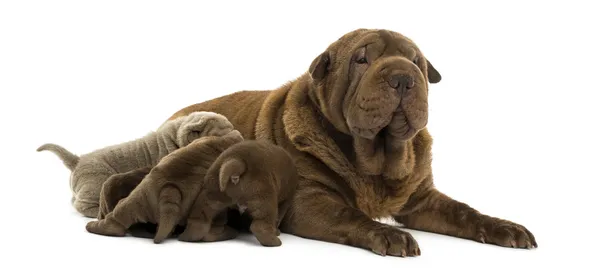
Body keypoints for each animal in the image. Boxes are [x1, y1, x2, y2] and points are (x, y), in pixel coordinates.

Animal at [37, 110, 234, 217]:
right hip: (95, 182)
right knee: (82, 205)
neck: (176, 136)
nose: (237, 134)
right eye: (221, 134)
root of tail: (77, 160)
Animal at [152, 139, 298, 245]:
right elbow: (278, 218)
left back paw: (187, 237)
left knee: (199, 220)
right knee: (259, 225)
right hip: (264, 198)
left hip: (210, 195)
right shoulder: (284, 202)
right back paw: (274, 242)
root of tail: (235, 162)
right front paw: (277, 231)